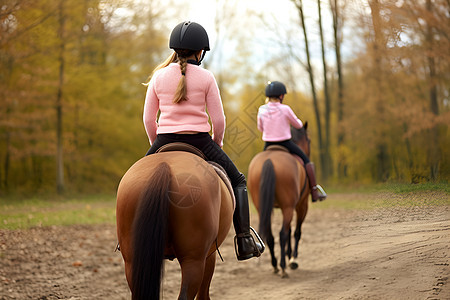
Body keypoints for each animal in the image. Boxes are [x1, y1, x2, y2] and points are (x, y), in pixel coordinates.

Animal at [248, 123, 312, 278]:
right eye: (309, 140)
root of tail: (269, 160)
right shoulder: (301, 205)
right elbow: (296, 232)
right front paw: (293, 259)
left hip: (263, 208)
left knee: (270, 236)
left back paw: (275, 265)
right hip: (289, 207)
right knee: (282, 234)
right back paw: (283, 266)